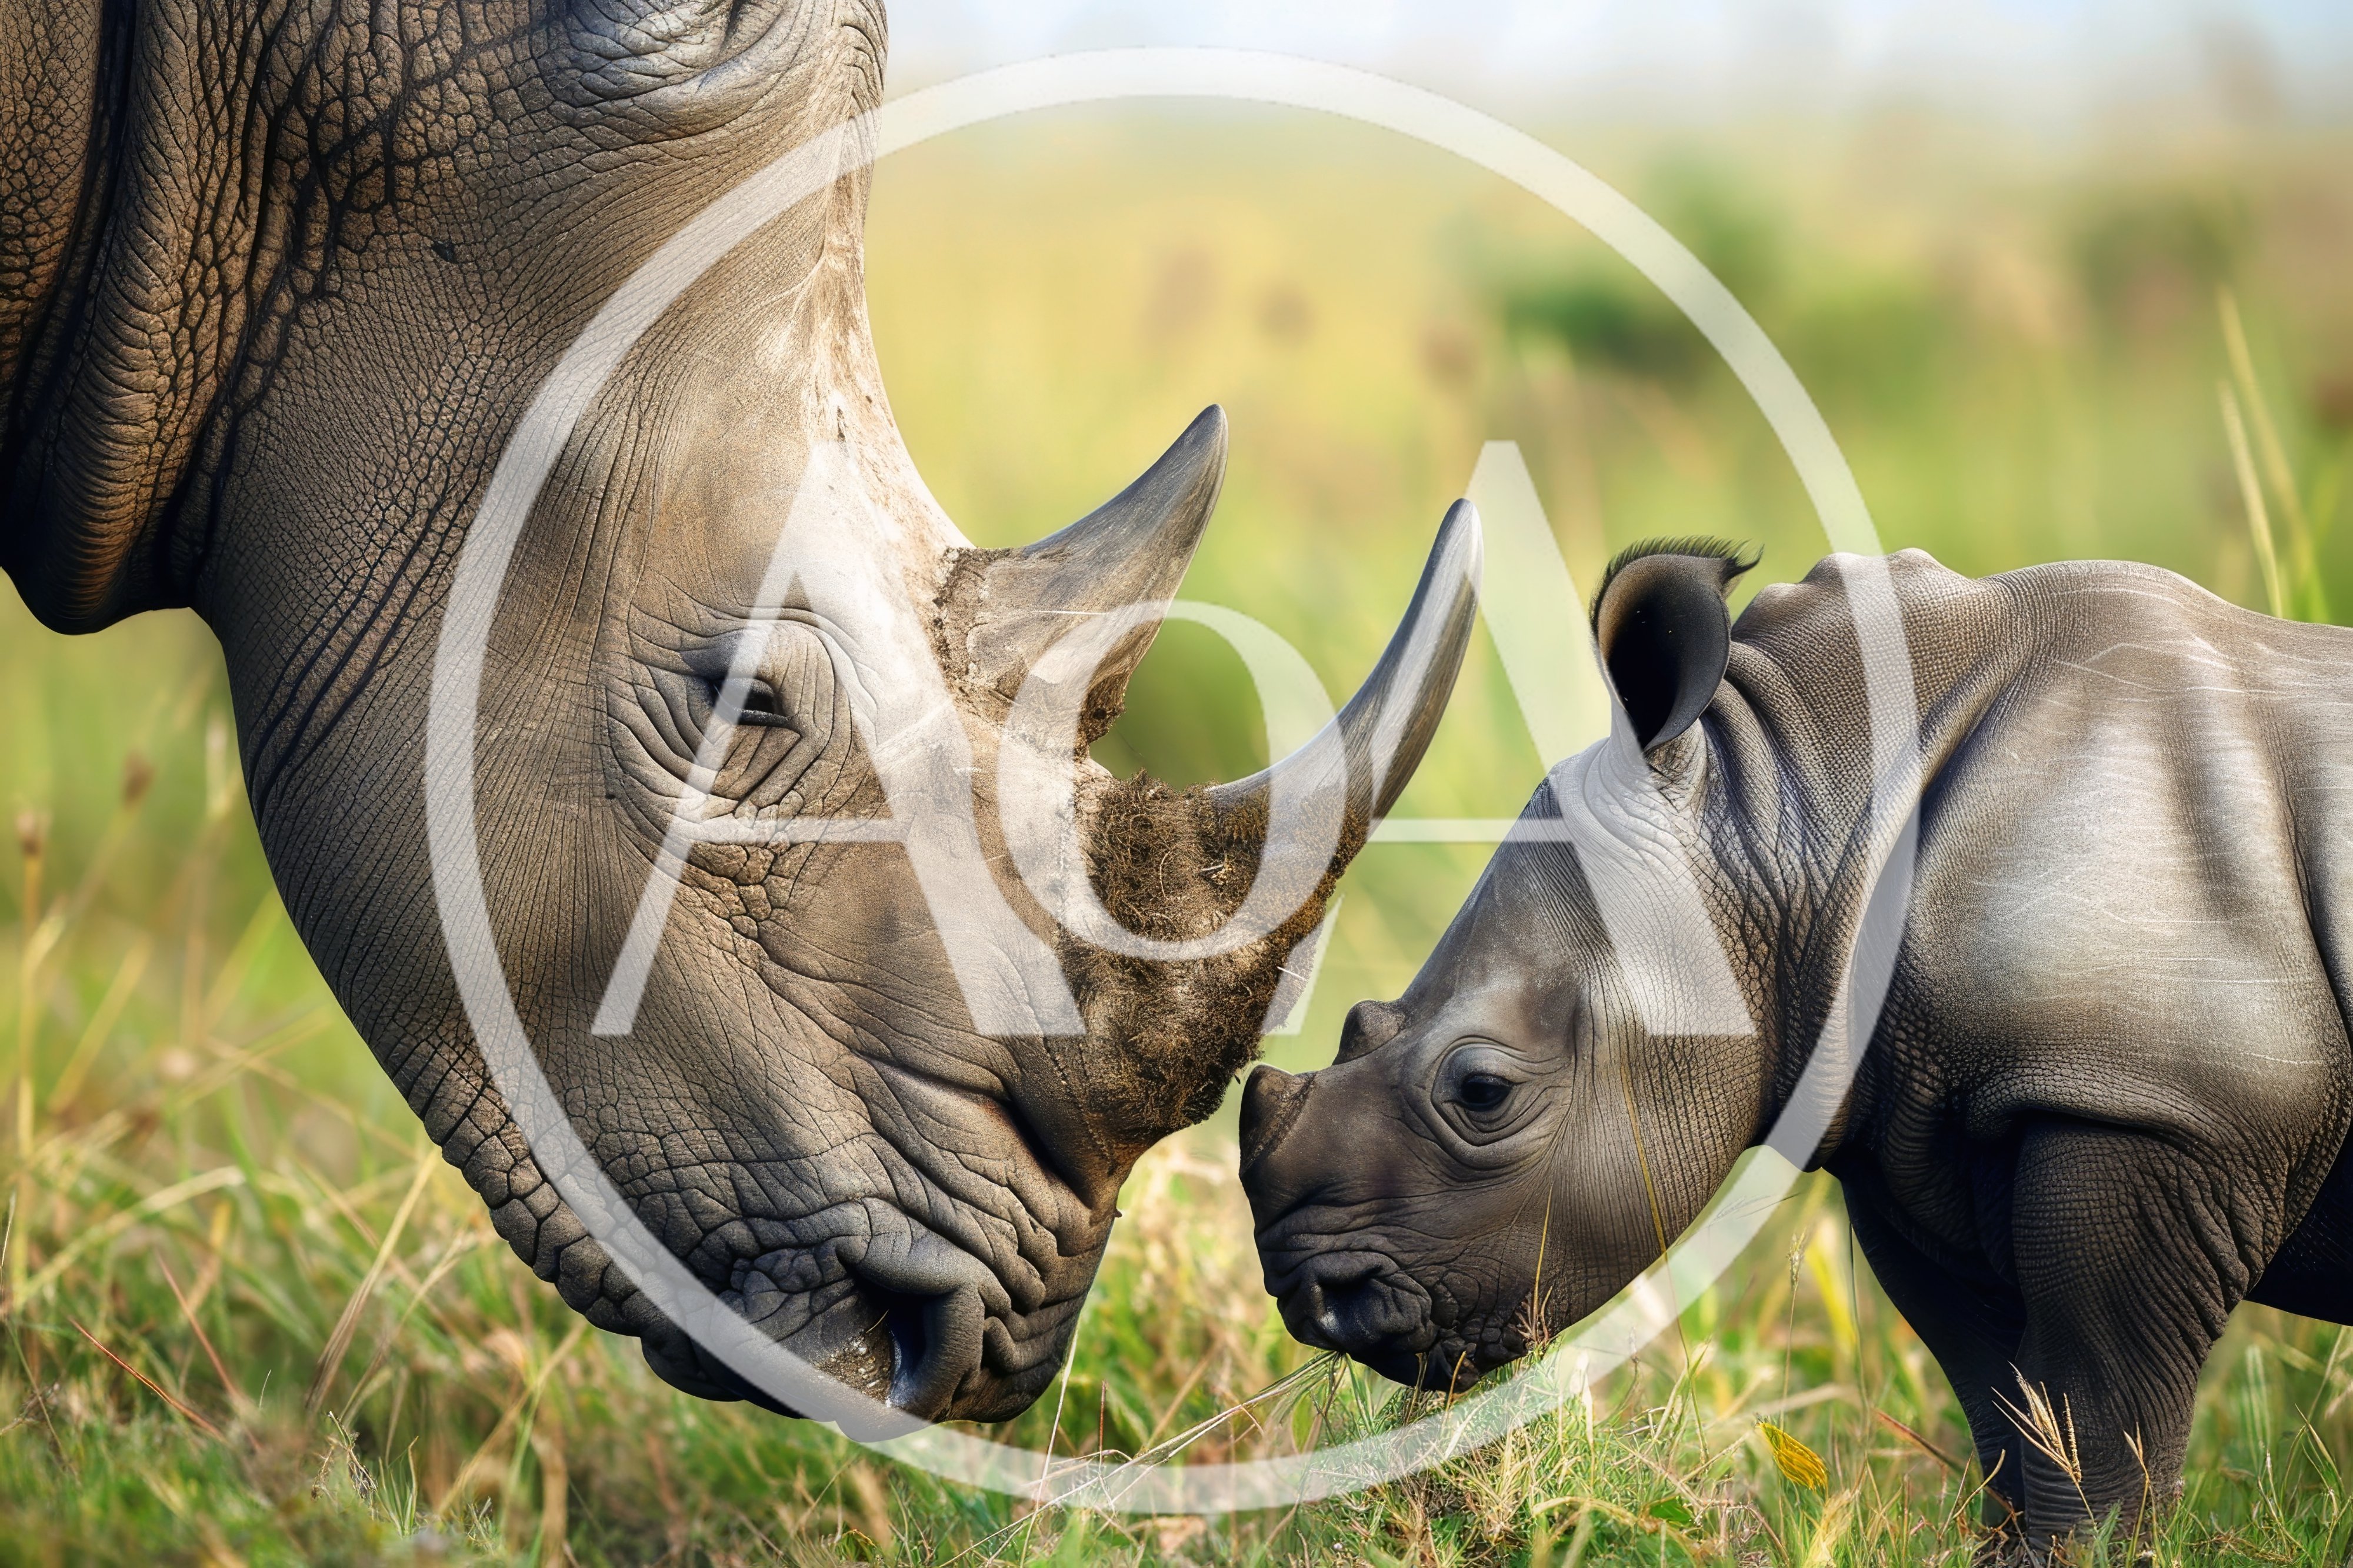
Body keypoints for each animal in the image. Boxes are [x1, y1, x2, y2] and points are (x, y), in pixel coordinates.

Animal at [1240, 541, 2353, 1551]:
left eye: (1482, 1089)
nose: (1314, 1302)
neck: (1790, 814)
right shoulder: (1916, 1129)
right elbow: (2007, 1400)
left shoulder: (2152, 1105)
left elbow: (2099, 1408)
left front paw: (2086, 1552)